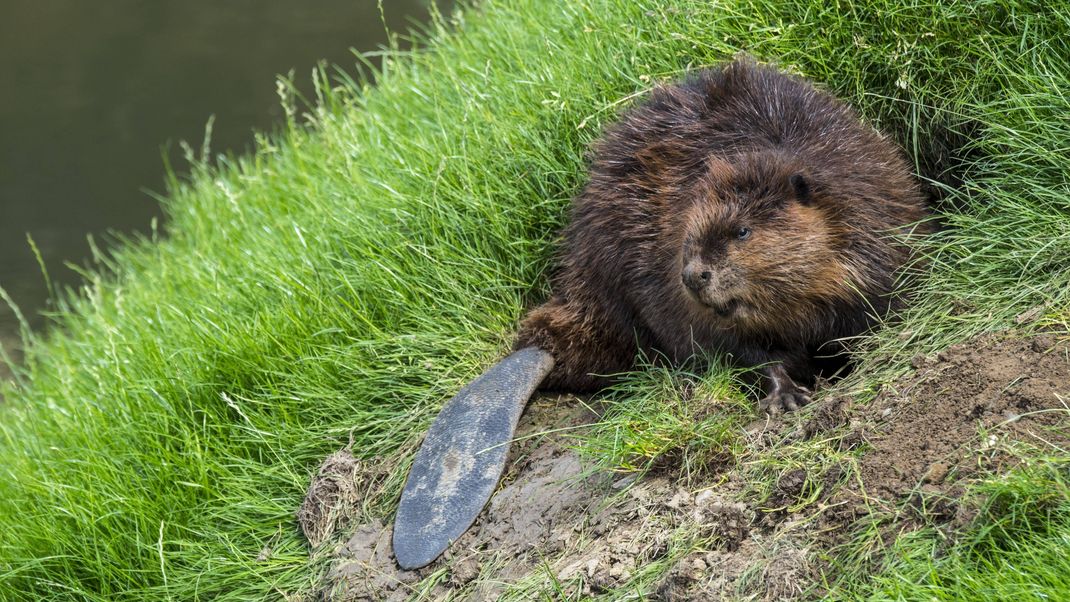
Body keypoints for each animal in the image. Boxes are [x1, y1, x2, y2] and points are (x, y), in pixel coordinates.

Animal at [515, 58, 928, 412]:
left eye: (741, 231)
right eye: (688, 235)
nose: (693, 276)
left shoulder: (876, 220)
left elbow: (878, 305)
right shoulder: (664, 277)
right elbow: (736, 348)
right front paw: (786, 395)